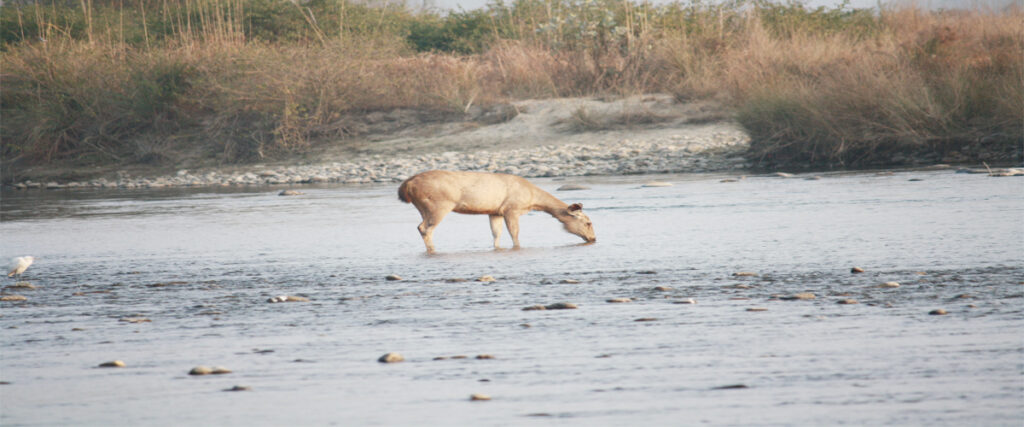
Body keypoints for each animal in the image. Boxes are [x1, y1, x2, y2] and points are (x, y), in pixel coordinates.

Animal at [397, 167, 598, 250]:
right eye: (588, 222)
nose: (593, 238)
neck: (533, 199)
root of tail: (406, 185)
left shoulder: (494, 212)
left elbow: (496, 235)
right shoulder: (512, 209)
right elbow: (514, 234)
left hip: (423, 207)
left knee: (421, 227)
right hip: (439, 205)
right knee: (425, 228)